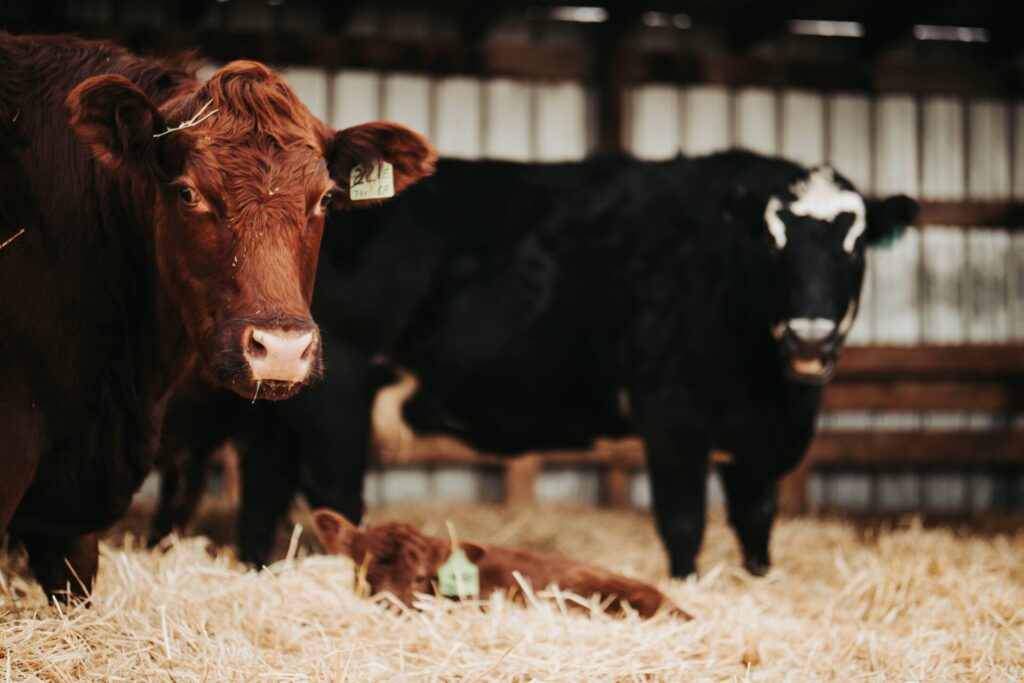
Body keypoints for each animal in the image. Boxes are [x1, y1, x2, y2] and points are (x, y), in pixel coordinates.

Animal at [149, 150, 913, 577]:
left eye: (854, 243)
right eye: (774, 242)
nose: (810, 335)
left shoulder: (754, 441)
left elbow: (756, 525)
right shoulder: (671, 413)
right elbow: (684, 523)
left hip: (278, 405)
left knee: (263, 492)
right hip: (337, 393)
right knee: (336, 498)